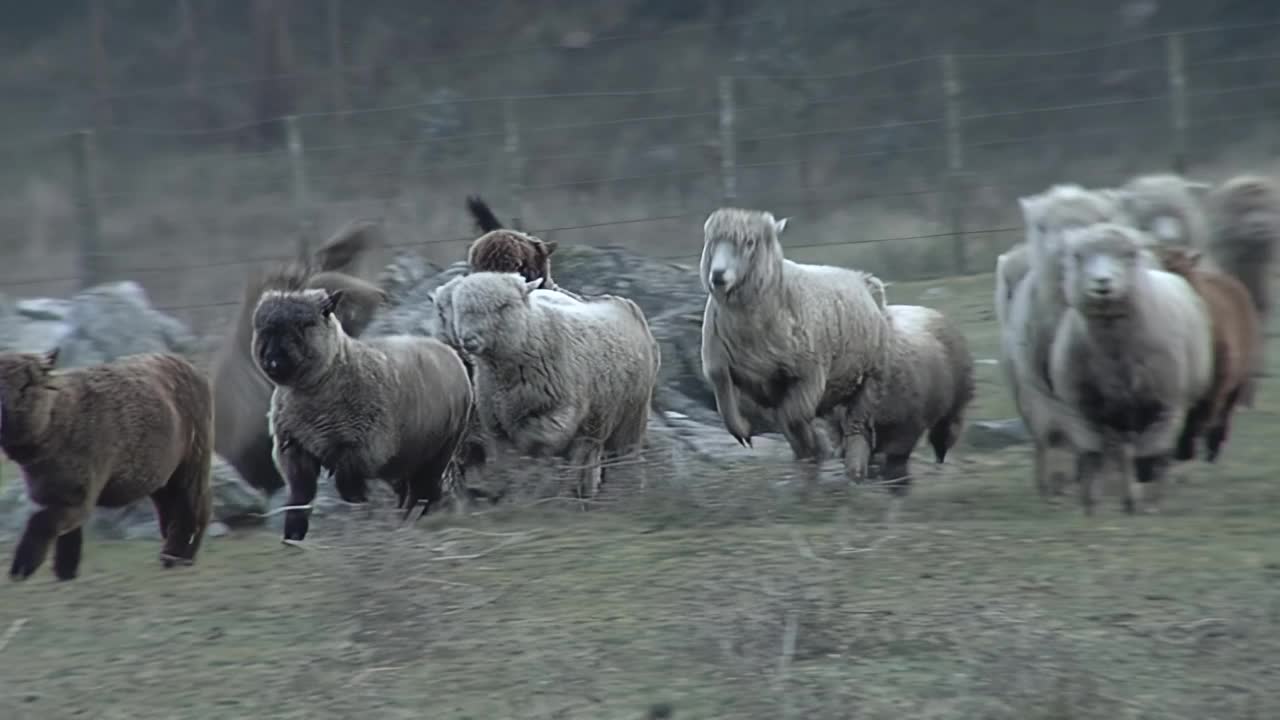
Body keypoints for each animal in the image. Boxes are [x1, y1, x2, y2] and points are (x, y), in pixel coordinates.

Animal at [0, 348, 212, 576]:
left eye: (26, 385)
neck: (62, 418)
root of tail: (185, 363)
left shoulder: (79, 495)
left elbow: (41, 522)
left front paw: (23, 567)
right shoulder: (61, 493)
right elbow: (68, 538)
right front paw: (66, 573)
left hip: (193, 460)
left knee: (195, 508)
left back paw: (180, 556)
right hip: (162, 475)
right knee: (173, 510)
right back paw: (172, 554)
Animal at [252, 285, 473, 538]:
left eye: (306, 323)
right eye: (260, 327)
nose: (273, 361)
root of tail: (445, 349)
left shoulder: (362, 446)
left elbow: (348, 487)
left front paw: (361, 512)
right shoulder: (294, 449)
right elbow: (300, 497)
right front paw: (293, 536)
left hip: (440, 449)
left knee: (423, 490)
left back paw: (409, 521)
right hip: (407, 454)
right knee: (409, 489)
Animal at [435, 269, 665, 499]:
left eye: (503, 306)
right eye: (459, 307)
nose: (468, 339)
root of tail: (625, 304)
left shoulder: (559, 414)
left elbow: (534, 445)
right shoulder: (496, 427)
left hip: (630, 418)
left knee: (622, 460)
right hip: (597, 422)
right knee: (589, 460)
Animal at [701, 204, 890, 479]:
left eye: (750, 242)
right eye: (711, 241)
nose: (717, 276)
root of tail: (862, 279)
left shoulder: (809, 376)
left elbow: (792, 418)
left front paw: (816, 449)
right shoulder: (719, 364)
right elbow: (725, 401)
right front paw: (741, 431)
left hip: (868, 380)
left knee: (857, 428)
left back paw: (853, 465)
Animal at [1044, 221, 1213, 512]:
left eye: (1128, 255)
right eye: (1078, 256)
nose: (1102, 283)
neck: (1114, 352)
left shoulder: (1165, 406)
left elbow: (1152, 455)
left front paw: (1150, 501)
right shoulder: (1081, 409)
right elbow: (1092, 454)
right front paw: (1091, 504)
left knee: (1153, 453)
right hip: (1119, 414)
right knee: (1121, 453)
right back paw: (1127, 498)